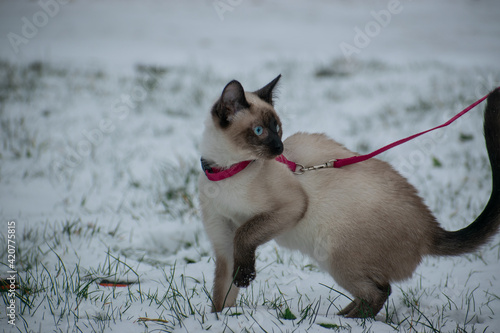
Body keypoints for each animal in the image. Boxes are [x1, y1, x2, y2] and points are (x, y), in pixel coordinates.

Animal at [197, 74, 498, 318]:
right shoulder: (224, 245)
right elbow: (222, 296)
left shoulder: (289, 207)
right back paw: (338, 316)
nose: (279, 147)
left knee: (380, 291)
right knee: (378, 289)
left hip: (333, 253)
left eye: (278, 129)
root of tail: (431, 229)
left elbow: (245, 234)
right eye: (259, 131)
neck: (227, 173)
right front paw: (220, 321)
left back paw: (342, 322)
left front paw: (245, 277)